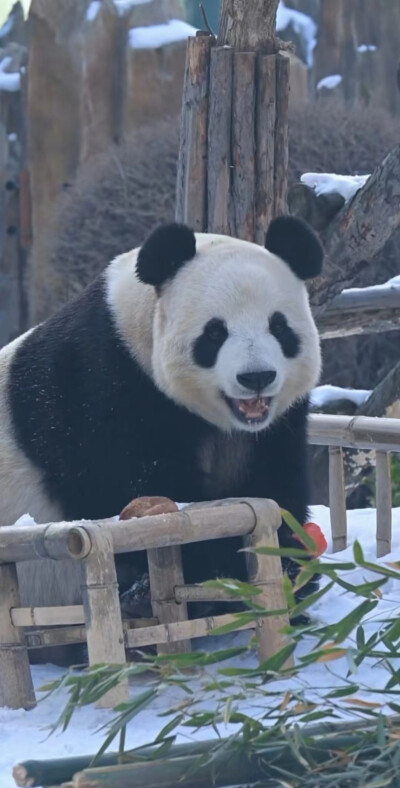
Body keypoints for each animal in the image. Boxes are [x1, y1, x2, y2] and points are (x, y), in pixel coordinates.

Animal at [0, 219, 324, 612]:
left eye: (279, 327)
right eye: (215, 333)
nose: (256, 377)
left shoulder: (277, 427)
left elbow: (275, 486)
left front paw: (291, 569)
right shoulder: (100, 381)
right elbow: (132, 485)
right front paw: (209, 576)